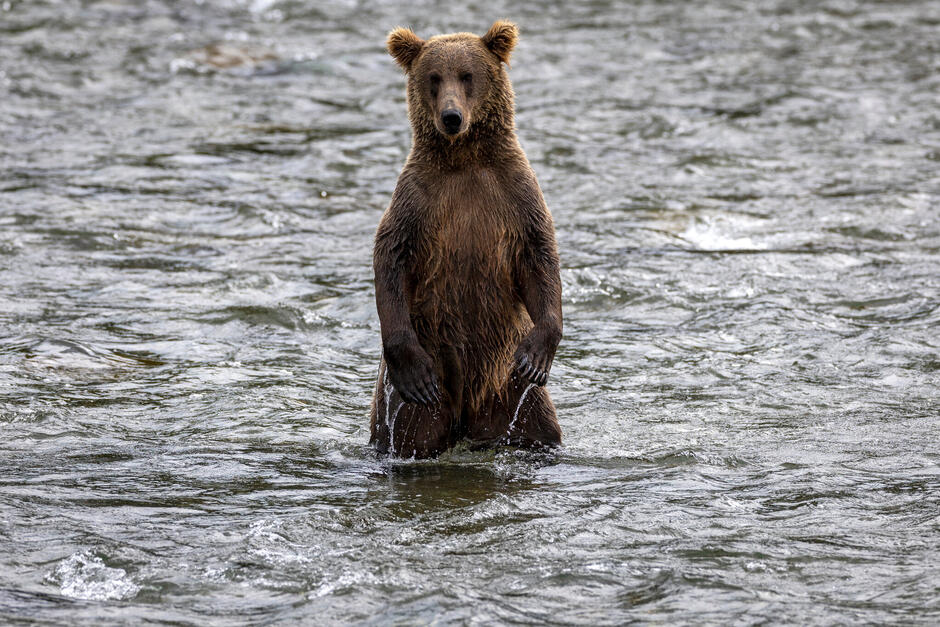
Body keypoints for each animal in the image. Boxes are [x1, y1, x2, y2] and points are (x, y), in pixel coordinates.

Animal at [369, 20, 563, 459]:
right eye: (433, 77)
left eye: (467, 75)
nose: (452, 117)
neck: (465, 159)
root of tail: (463, 416)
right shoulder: (419, 199)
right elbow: (391, 254)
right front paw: (413, 369)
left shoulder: (513, 193)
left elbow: (539, 253)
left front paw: (537, 354)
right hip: (418, 395)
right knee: (406, 430)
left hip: (509, 390)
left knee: (537, 426)